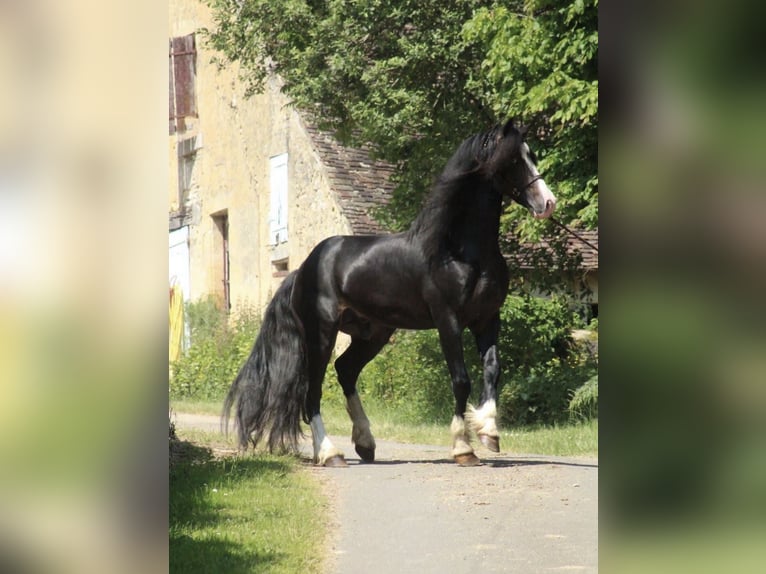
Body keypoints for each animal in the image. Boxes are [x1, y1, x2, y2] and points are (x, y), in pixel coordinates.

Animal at [224, 120, 560, 468]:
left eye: (531, 155)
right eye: (513, 160)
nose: (548, 204)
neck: (460, 250)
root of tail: (303, 268)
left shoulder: (487, 319)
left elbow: (493, 370)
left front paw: (489, 432)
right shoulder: (448, 321)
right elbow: (461, 379)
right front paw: (463, 448)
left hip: (373, 333)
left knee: (345, 371)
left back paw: (365, 443)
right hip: (322, 334)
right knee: (312, 392)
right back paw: (331, 453)